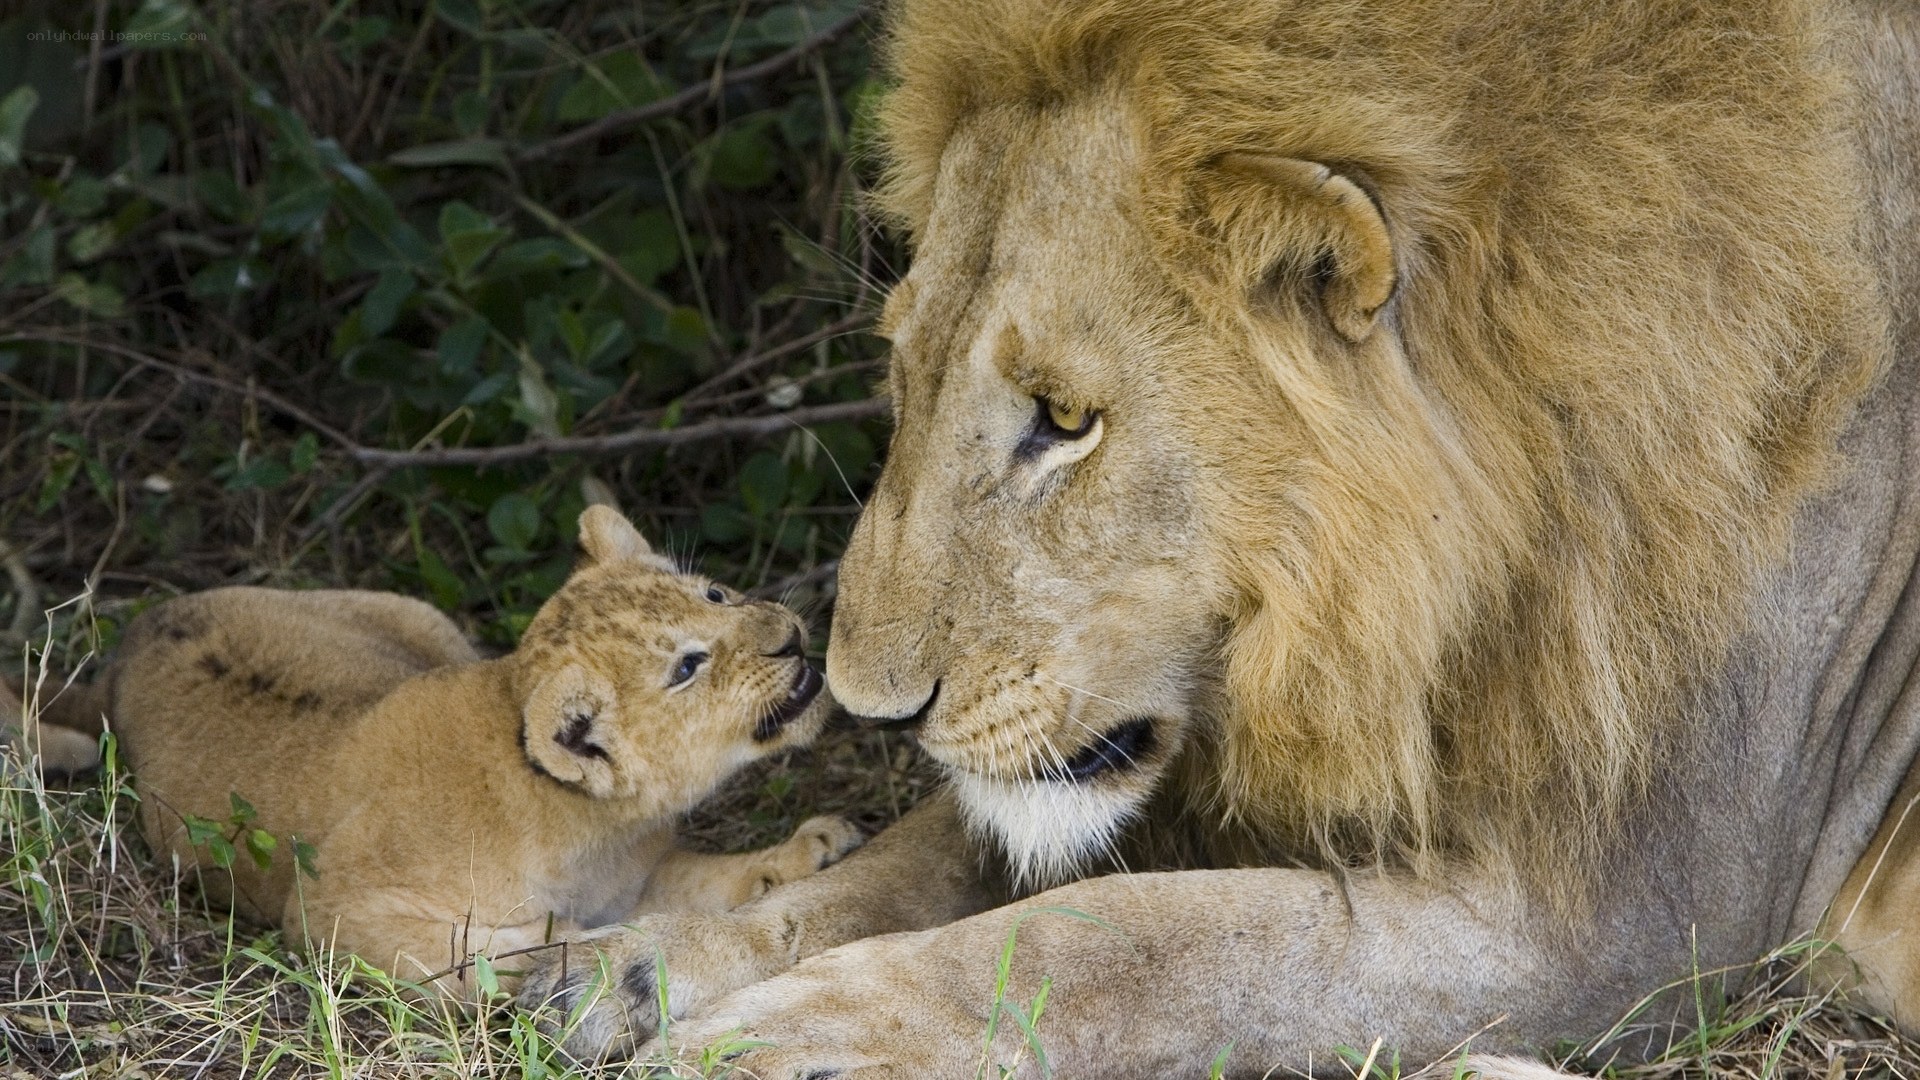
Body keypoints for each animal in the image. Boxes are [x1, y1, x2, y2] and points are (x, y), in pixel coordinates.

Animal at [41, 506, 861, 999]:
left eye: (715, 595)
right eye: (687, 667)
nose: (790, 635)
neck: (593, 830)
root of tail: (131, 640)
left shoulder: (636, 875)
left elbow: (708, 881)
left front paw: (810, 851)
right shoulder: (332, 915)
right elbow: (482, 953)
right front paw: (577, 951)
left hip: (418, 617)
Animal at [518, 0, 1920, 1073]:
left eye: (1065, 420)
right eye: (901, 372)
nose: (867, 707)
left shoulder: (1632, 917)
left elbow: (1136, 944)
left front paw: (797, 1036)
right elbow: (919, 859)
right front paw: (627, 971)